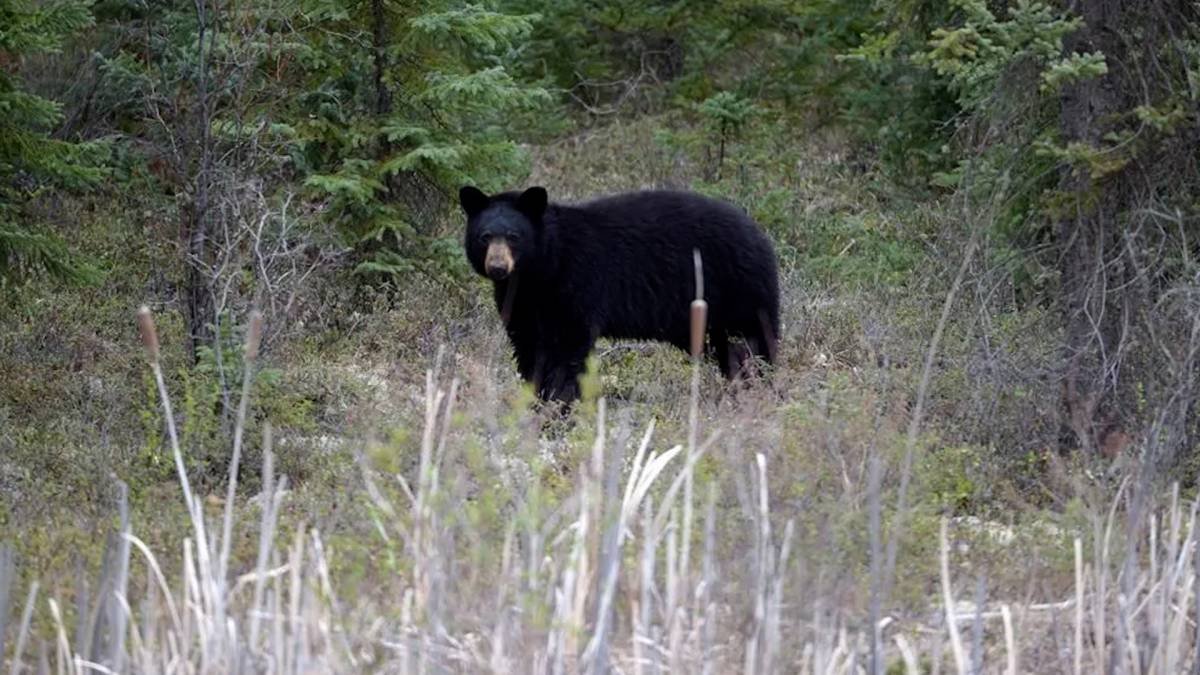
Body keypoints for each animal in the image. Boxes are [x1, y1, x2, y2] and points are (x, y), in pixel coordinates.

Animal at [459, 185, 780, 405]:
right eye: (485, 237)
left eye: (514, 237)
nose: (498, 267)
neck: (541, 270)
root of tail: (759, 234)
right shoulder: (522, 301)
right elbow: (528, 346)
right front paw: (536, 399)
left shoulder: (576, 283)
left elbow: (568, 347)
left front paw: (559, 403)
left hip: (738, 289)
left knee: (757, 340)